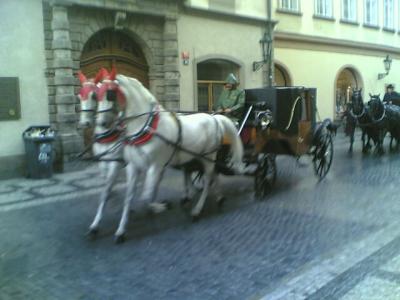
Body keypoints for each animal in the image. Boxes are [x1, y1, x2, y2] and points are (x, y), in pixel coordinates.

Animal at [76, 69, 123, 237]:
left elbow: (108, 186)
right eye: (79, 96)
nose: (84, 123)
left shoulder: (115, 162)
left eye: (94, 96)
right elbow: (106, 188)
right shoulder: (104, 163)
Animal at [96, 73, 244, 244]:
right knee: (213, 174)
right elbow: (129, 197)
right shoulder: (133, 167)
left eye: (110, 94)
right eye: (96, 94)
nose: (102, 123)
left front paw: (158, 207)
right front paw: (121, 230)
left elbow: (146, 196)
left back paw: (197, 210)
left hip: (208, 156)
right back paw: (218, 198)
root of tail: (215, 118)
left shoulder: (155, 166)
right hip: (200, 156)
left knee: (208, 181)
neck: (146, 127)